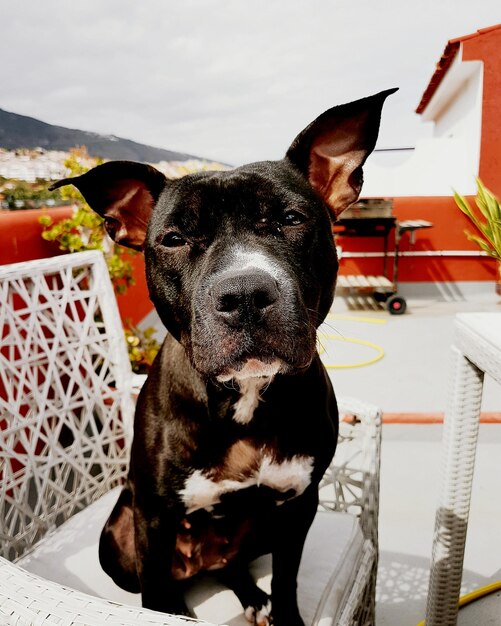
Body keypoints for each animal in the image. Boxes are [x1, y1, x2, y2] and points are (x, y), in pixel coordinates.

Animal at [50, 89, 394, 624]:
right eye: (173, 238)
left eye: (292, 219)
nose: (245, 293)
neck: (245, 393)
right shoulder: (154, 517)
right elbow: (154, 596)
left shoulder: (300, 503)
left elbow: (289, 579)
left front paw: (283, 612)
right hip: (119, 543)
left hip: (257, 531)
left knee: (233, 566)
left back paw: (251, 596)